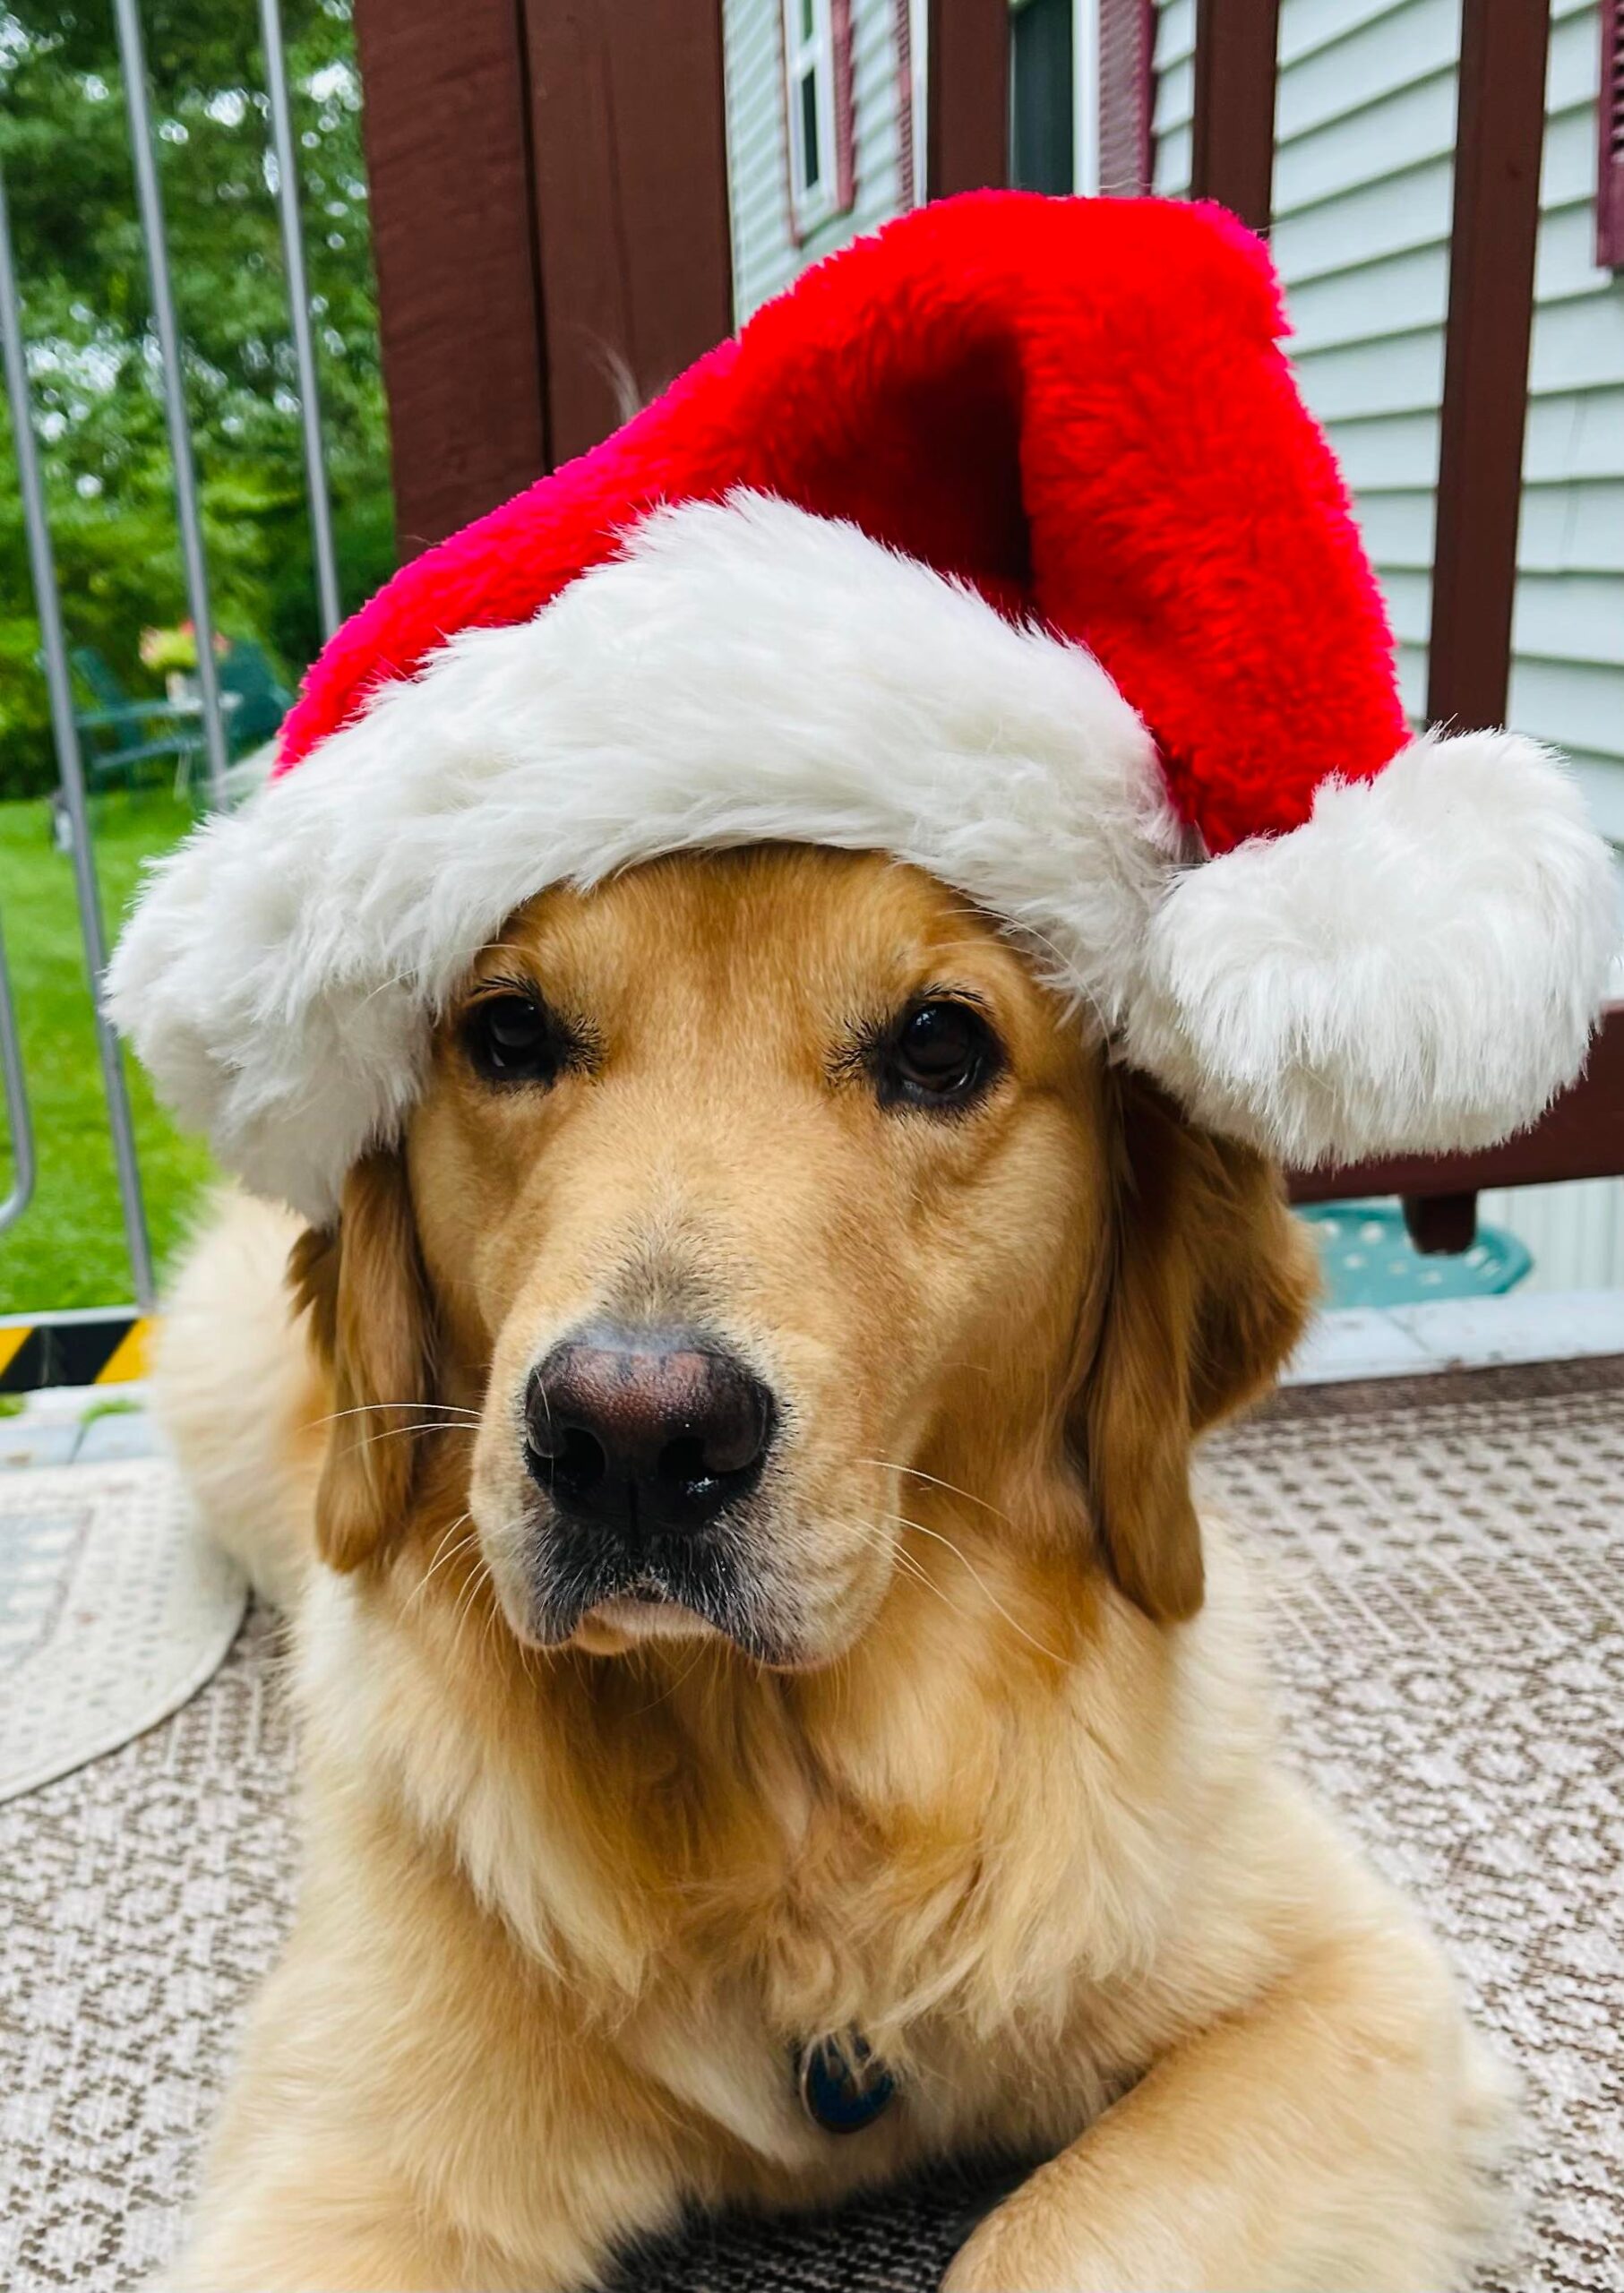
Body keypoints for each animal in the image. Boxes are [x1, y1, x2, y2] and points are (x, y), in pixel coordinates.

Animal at [152, 848, 1514, 2293]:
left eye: (939, 1046)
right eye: (509, 1034)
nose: (632, 1441)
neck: (787, 1800)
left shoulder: (1344, 1984)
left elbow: (1056, 2236)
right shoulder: (338, 2166)